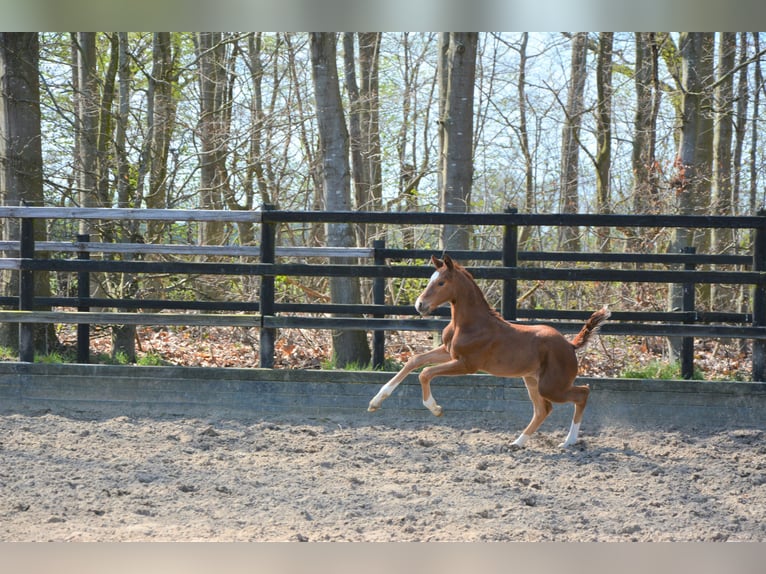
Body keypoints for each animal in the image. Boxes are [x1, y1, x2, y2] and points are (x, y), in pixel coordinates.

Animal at [368, 256, 616, 450]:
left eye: (441, 282)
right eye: (431, 280)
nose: (420, 305)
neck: (470, 324)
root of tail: (570, 346)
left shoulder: (467, 365)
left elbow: (425, 372)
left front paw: (436, 409)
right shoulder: (448, 352)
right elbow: (415, 360)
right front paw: (375, 402)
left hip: (551, 386)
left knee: (582, 393)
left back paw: (568, 441)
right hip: (532, 380)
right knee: (543, 409)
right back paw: (517, 443)